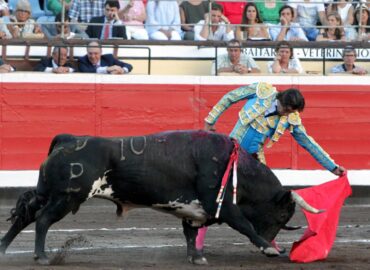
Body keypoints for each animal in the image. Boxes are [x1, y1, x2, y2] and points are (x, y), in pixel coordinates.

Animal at [0, 130, 318, 264]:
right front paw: (268, 250)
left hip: (48, 193)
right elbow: (245, 226)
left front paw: (196, 258)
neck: (235, 166)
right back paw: (41, 257)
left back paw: (3, 249)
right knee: (42, 221)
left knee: (26, 216)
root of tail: (68, 139)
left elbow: (190, 234)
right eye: (282, 214)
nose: (276, 243)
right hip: (66, 198)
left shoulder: (193, 210)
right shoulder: (223, 205)